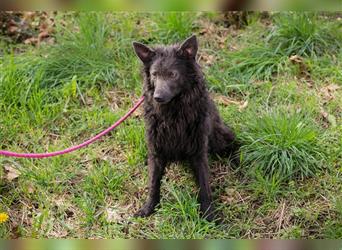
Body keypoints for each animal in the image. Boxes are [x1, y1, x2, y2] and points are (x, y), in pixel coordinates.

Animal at [132, 35, 239, 221]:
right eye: (154, 74)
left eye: (173, 74)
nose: (157, 97)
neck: (173, 113)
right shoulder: (156, 150)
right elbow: (153, 183)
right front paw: (149, 207)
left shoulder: (198, 151)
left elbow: (204, 186)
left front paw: (209, 214)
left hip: (218, 138)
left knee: (235, 143)